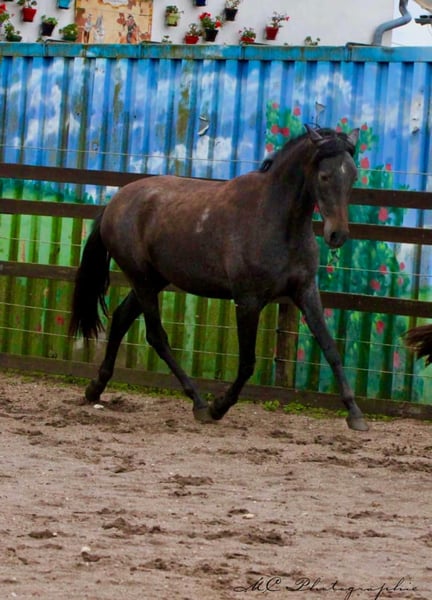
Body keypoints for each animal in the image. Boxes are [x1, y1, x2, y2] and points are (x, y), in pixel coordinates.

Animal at [69, 125, 368, 432]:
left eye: (353, 175)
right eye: (324, 176)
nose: (337, 235)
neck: (275, 219)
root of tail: (114, 203)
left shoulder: (306, 291)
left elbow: (330, 348)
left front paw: (355, 414)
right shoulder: (248, 300)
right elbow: (247, 363)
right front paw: (219, 407)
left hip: (152, 281)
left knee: (120, 318)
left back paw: (95, 389)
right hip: (141, 280)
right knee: (156, 336)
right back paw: (199, 403)